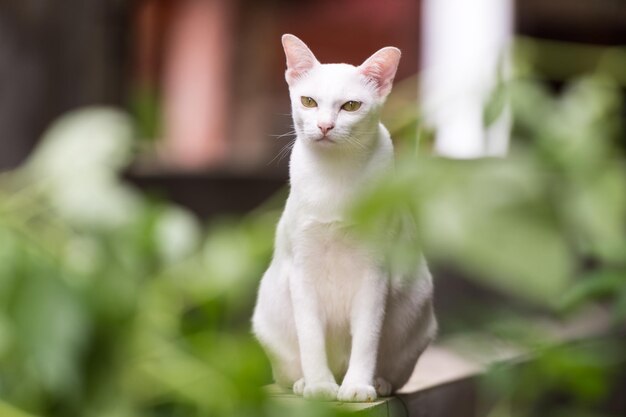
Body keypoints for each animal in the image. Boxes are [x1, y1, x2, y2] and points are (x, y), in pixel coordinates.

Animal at [251, 35, 436, 400]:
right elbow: (311, 338)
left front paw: (357, 386)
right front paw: (320, 386)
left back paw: (378, 383)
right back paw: (305, 382)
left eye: (350, 106)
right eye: (308, 101)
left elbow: (366, 338)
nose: (325, 126)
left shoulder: (375, 274)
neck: (334, 176)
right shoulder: (302, 273)